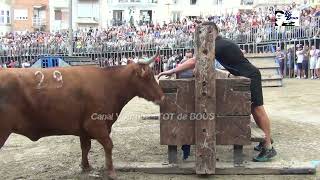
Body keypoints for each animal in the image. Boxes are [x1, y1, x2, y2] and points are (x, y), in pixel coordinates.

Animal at [0, 62, 165, 179]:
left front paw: (85, 166)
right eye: (148, 77)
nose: (162, 96)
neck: (108, 83)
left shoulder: (83, 129)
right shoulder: (95, 124)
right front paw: (111, 171)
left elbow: (85, 147)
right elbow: (108, 145)